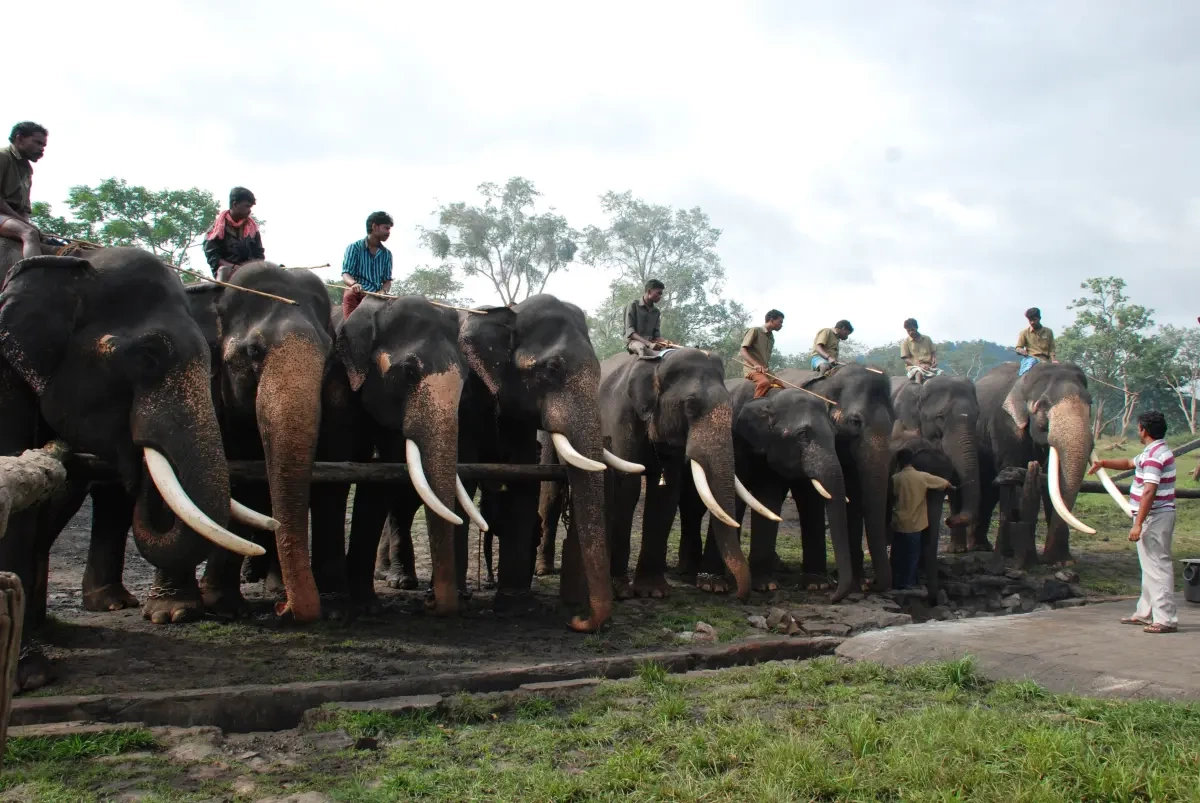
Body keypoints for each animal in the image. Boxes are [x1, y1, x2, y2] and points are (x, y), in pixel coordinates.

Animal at [600, 349, 754, 600]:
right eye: (690, 405)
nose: (736, 595)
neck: (656, 363)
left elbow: (666, 492)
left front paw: (653, 591)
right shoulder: (620, 418)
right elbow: (627, 487)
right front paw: (620, 590)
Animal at [721, 380, 855, 601]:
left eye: (835, 435)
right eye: (802, 435)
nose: (832, 597)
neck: (771, 398)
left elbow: (770, 499)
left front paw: (767, 586)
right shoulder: (737, 441)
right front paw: (765, 586)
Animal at [775, 365, 896, 590]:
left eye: (893, 423)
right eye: (855, 421)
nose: (874, 583)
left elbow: (855, 496)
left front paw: (858, 583)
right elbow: (813, 494)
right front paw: (817, 583)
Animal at [970, 361, 1096, 565]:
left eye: (1091, 402)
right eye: (1043, 404)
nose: (1048, 559)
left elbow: (1052, 481)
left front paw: (1062, 562)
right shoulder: (1005, 426)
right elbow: (1011, 472)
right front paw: (1011, 555)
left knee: (989, 492)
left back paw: (982, 546)